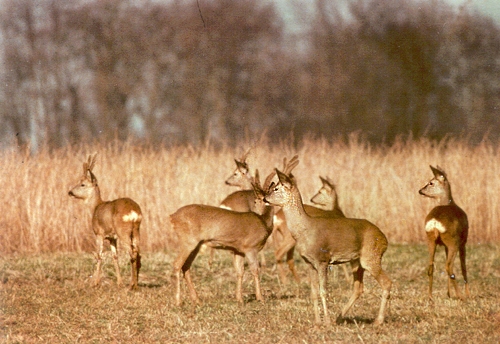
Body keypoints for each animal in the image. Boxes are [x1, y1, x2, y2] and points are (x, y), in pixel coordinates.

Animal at [67, 152, 142, 288]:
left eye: (82, 184)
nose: (70, 192)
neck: (96, 206)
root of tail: (134, 212)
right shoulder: (112, 237)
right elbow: (115, 256)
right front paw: (119, 282)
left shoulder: (99, 233)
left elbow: (99, 255)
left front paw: (95, 283)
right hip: (137, 230)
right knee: (138, 253)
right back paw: (135, 284)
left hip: (123, 231)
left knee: (132, 253)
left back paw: (131, 285)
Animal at [170, 170, 276, 306]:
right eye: (256, 200)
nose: (258, 210)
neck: (264, 223)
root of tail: (172, 217)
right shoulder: (250, 248)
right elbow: (255, 270)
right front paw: (260, 298)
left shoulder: (238, 250)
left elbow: (240, 271)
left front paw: (239, 299)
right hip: (188, 242)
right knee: (177, 264)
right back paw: (178, 301)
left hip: (196, 245)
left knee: (185, 266)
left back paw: (197, 300)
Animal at [264, 157, 392, 326]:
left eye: (276, 188)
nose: (264, 198)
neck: (305, 230)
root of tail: (384, 238)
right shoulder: (309, 262)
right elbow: (313, 292)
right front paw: (318, 321)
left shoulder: (322, 260)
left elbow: (324, 291)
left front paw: (327, 322)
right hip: (357, 262)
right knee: (359, 288)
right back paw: (340, 317)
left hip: (371, 257)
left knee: (387, 282)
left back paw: (378, 320)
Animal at [418, 165, 468, 300]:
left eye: (430, 182)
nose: (420, 190)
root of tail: (435, 222)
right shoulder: (463, 242)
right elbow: (463, 267)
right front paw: (467, 293)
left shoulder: (444, 245)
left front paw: (448, 294)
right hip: (453, 242)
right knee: (449, 267)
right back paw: (461, 296)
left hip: (431, 239)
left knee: (431, 266)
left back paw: (430, 297)